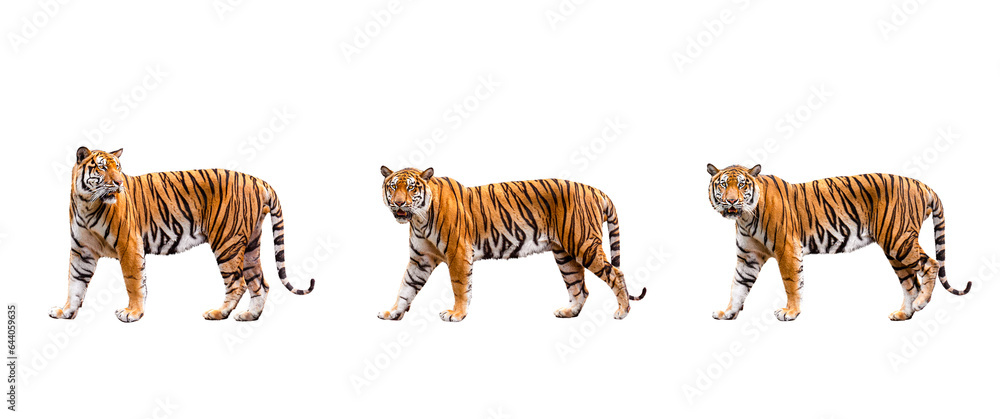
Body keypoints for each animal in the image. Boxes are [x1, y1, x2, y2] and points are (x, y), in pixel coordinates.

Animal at [49, 147, 314, 323]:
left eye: (119, 168)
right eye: (103, 167)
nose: (118, 183)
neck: (87, 204)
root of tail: (258, 180)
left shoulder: (129, 245)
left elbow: (134, 282)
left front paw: (132, 313)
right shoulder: (81, 251)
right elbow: (75, 283)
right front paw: (65, 311)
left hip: (227, 242)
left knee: (237, 282)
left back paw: (219, 313)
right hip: (250, 244)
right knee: (261, 283)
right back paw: (250, 315)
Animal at [377, 166, 646, 322]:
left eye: (411, 188)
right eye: (393, 187)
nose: (399, 203)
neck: (419, 219)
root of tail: (595, 189)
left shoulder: (458, 253)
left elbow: (460, 287)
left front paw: (457, 314)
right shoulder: (420, 260)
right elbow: (406, 287)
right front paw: (392, 312)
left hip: (583, 244)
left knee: (616, 274)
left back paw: (622, 312)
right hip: (565, 255)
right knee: (580, 287)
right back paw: (569, 312)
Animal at [706, 163, 970, 322]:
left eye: (742, 185)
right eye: (723, 184)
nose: (731, 201)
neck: (745, 217)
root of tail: (921, 184)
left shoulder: (787, 249)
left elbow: (791, 283)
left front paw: (790, 312)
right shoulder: (748, 257)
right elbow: (738, 286)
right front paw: (727, 312)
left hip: (899, 240)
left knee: (931, 264)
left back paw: (922, 302)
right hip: (894, 249)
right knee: (910, 283)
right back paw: (905, 313)